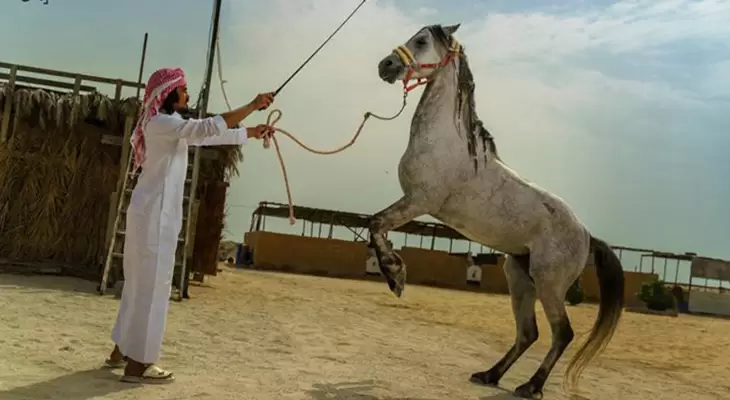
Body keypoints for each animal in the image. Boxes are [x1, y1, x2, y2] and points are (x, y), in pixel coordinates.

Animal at [370, 25, 624, 400]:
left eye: (421, 40)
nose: (386, 66)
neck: (445, 142)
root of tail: (587, 235)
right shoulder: (412, 203)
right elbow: (377, 228)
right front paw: (394, 271)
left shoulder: (419, 202)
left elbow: (375, 224)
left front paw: (395, 277)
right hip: (519, 277)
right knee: (529, 333)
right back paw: (490, 375)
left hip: (549, 283)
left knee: (562, 333)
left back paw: (530, 386)